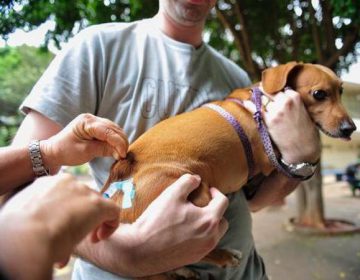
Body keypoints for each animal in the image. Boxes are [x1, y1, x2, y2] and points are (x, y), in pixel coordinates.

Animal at [102, 61, 358, 278]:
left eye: (341, 91)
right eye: (319, 94)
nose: (350, 128)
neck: (259, 103)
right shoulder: (269, 159)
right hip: (196, 192)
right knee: (188, 250)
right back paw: (224, 256)